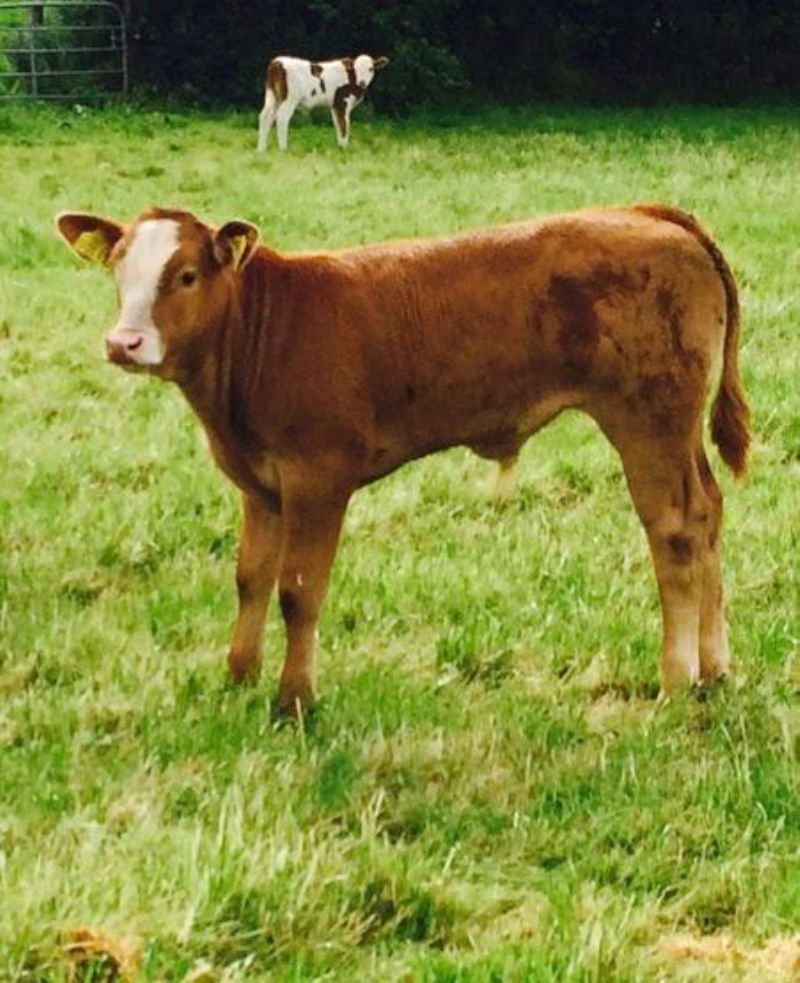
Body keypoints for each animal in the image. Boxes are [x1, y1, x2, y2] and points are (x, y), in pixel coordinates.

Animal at [56, 204, 751, 715]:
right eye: (118, 269)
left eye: (187, 275)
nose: (124, 342)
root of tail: (650, 215)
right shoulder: (260, 485)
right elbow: (250, 578)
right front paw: (239, 677)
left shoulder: (318, 477)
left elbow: (298, 591)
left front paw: (294, 700)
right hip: (677, 429)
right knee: (708, 512)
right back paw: (715, 668)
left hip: (646, 420)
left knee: (674, 530)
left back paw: (676, 677)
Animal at [256, 54, 389, 152]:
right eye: (356, 69)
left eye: (371, 68)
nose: (362, 82)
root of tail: (277, 62)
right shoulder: (342, 102)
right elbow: (344, 124)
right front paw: (344, 148)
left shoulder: (335, 105)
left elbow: (338, 124)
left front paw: (340, 147)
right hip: (289, 99)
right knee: (282, 118)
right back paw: (283, 148)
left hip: (272, 96)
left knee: (265, 117)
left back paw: (261, 149)